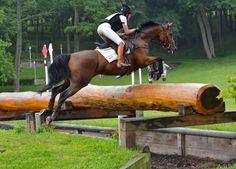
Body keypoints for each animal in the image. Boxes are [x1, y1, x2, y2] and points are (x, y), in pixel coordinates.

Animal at [38, 21, 176, 124]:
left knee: (55, 91)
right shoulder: (142, 61)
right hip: (79, 83)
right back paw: (52, 116)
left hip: (69, 80)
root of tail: (71, 56)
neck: (139, 40)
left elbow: (157, 60)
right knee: (62, 95)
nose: (174, 48)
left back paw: (48, 111)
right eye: (170, 34)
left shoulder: (143, 61)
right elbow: (159, 58)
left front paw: (155, 73)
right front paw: (157, 73)